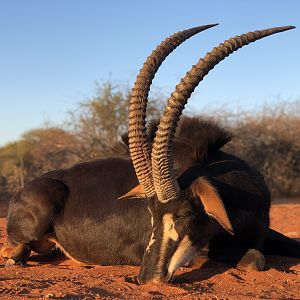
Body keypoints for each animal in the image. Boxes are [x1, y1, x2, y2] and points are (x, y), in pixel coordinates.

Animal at [1, 24, 298, 284]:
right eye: (151, 214)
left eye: (184, 213)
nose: (146, 277)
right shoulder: (203, 251)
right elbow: (255, 258)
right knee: (16, 250)